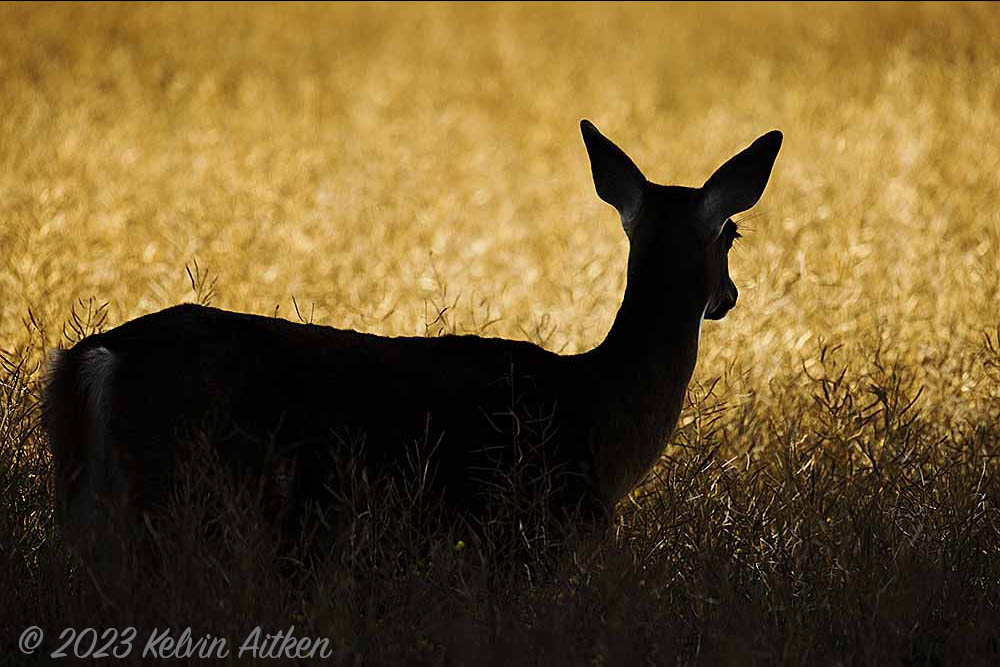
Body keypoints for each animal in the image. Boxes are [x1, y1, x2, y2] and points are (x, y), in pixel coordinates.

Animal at [44, 120, 782, 563]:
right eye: (733, 235)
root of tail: (100, 356)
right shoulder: (529, 537)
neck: (602, 409)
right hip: (177, 493)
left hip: (89, 499)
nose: (729, 296)